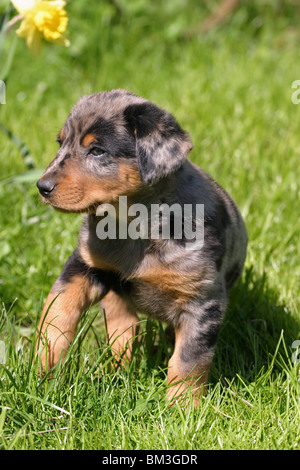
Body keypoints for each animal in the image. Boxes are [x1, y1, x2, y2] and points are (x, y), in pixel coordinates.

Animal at [36, 90, 247, 406]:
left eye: (97, 151)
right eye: (61, 143)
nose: (42, 186)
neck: (134, 226)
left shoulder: (203, 301)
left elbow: (188, 360)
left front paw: (182, 408)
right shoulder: (85, 264)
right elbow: (57, 311)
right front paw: (45, 363)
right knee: (124, 330)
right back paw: (112, 371)